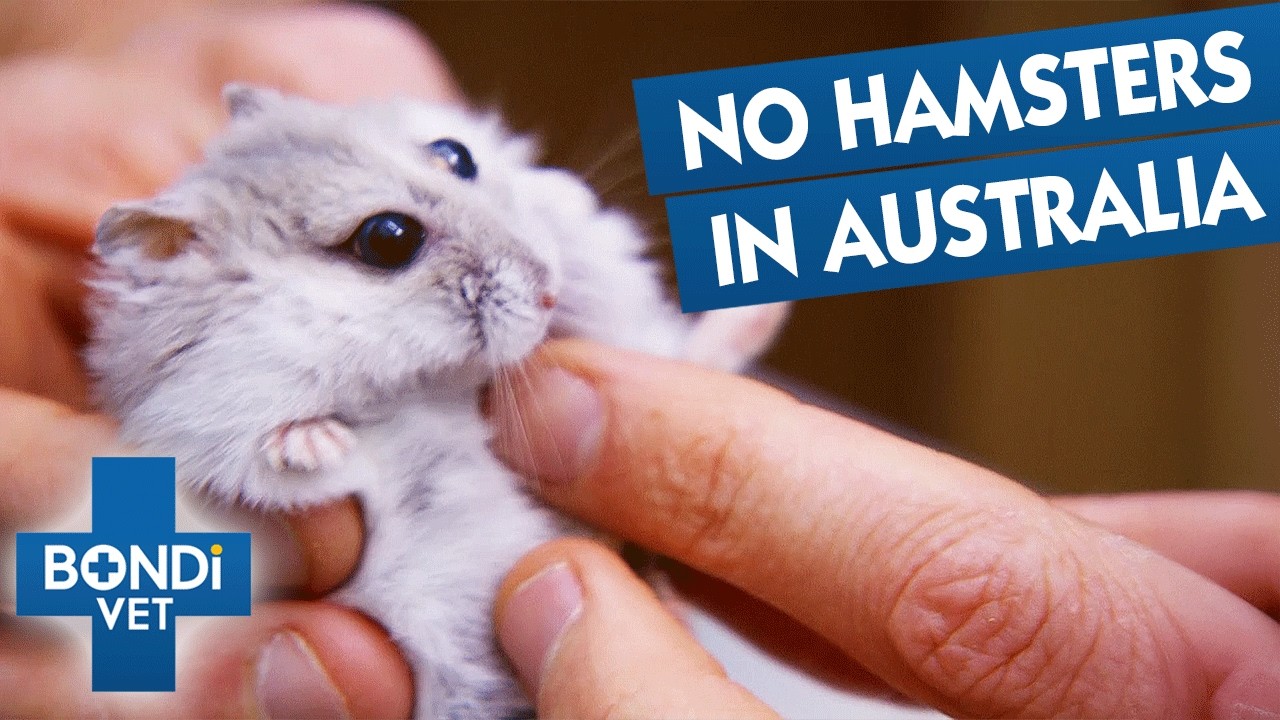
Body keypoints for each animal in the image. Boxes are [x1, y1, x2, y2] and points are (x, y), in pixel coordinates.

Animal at [86, 84, 787, 719]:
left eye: (456, 154)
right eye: (388, 237)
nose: (550, 292)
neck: (427, 382)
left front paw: (571, 229)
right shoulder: (201, 434)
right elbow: (283, 467)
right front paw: (317, 442)